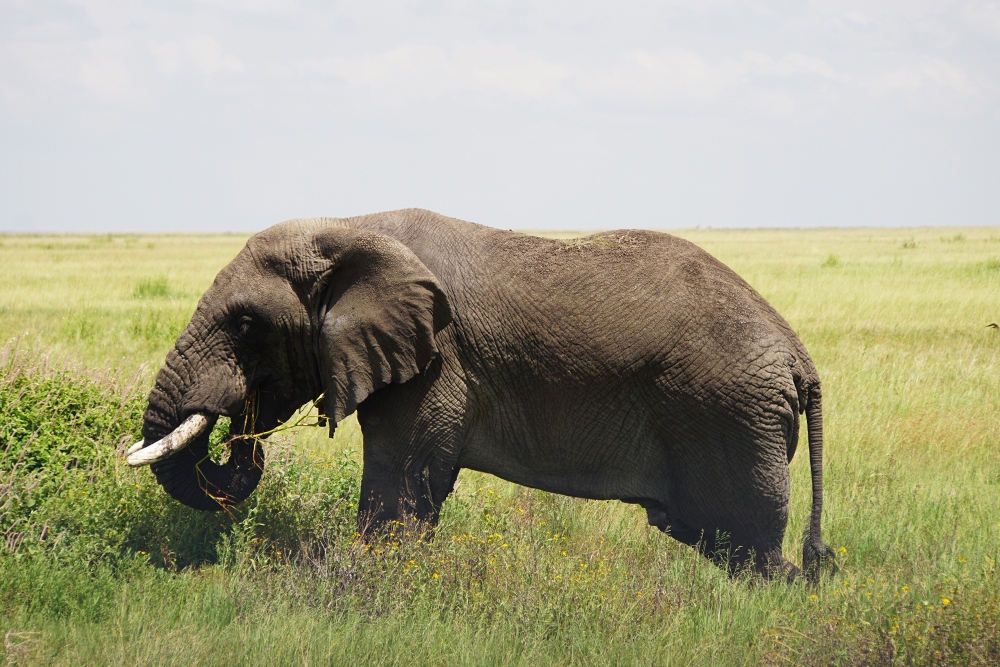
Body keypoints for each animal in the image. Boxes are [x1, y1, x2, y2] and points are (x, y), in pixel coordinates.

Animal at [129, 207, 840, 580]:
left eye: (246, 324)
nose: (242, 433)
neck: (350, 227)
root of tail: (800, 356)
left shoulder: (436, 360)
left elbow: (400, 485)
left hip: (730, 417)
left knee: (751, 548)